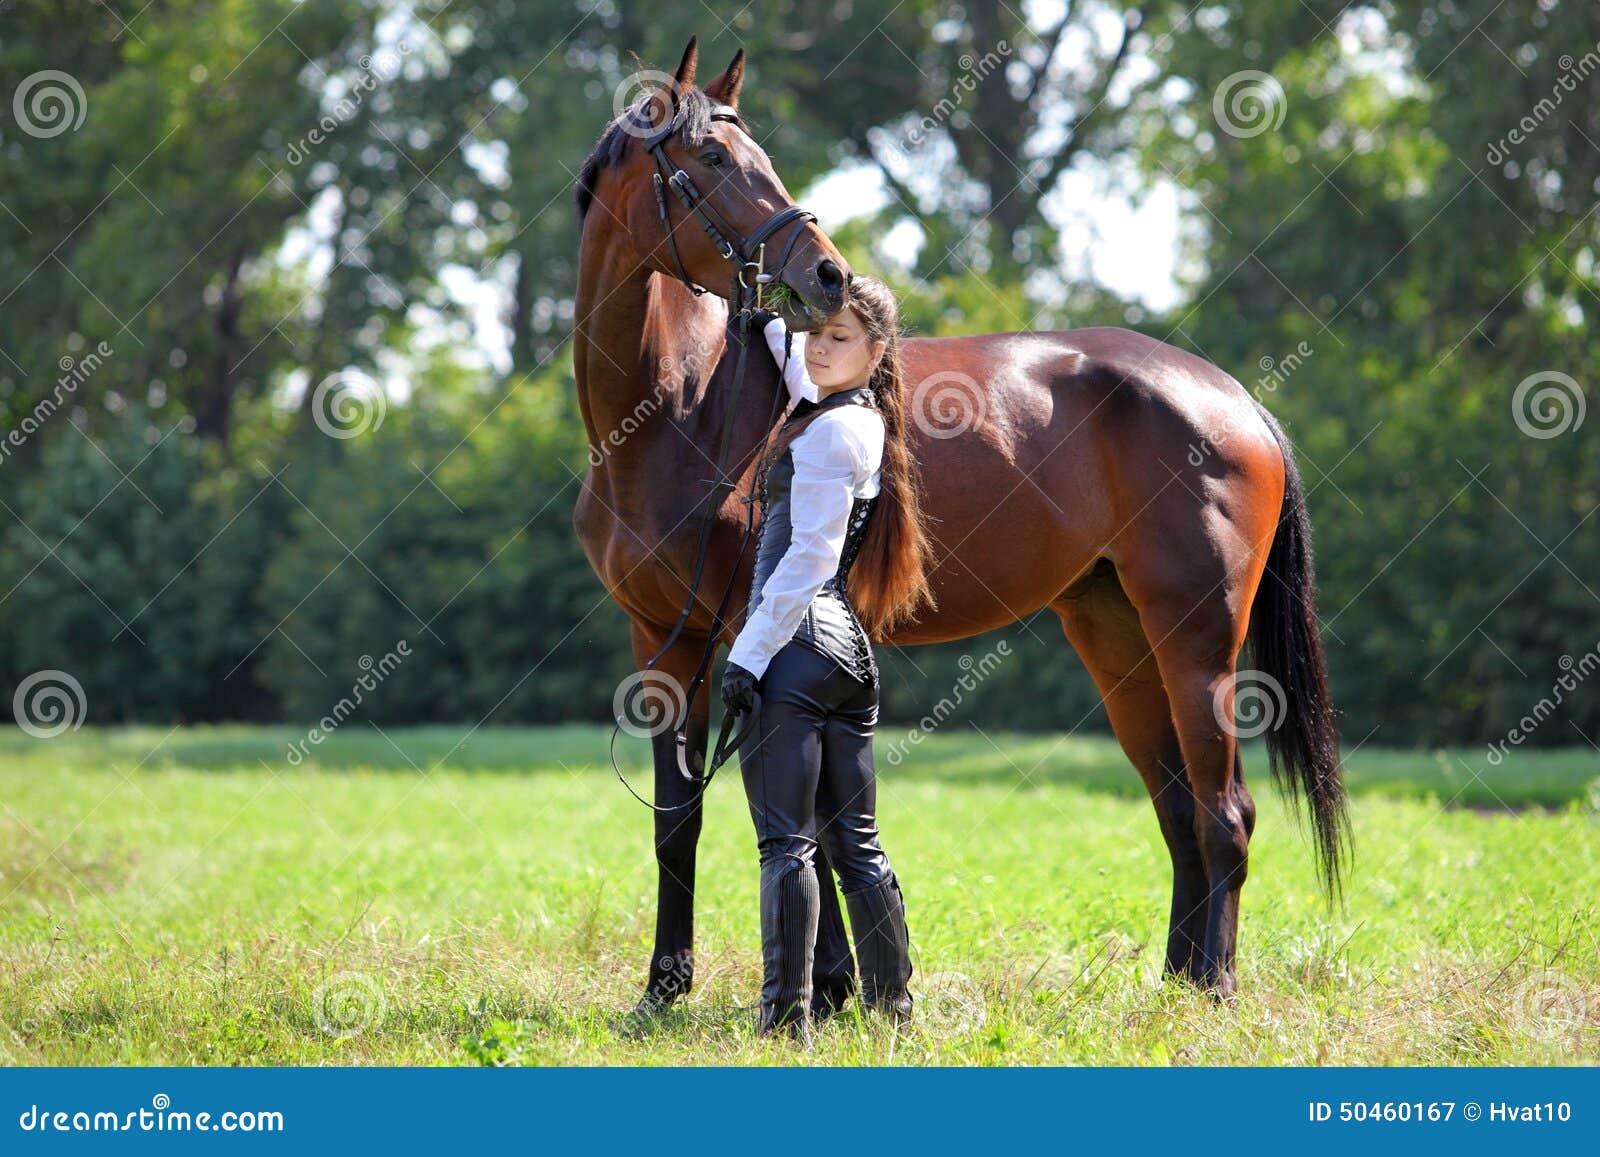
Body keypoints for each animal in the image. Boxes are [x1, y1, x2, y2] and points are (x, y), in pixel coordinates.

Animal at [576, 38, 1350, 1011]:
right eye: (711, 158)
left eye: (759, 157)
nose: (827, 274)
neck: (682, 403)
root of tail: (1237, 399)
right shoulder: (663, 640)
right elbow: (681, 819)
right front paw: (667, 989)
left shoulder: (751, 635)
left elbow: (795, 821)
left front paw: (822, 988)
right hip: (1117, 636)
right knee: (1178, 808)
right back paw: (1174, 985)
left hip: (1197, 638)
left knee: (1225, 813)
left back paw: (1212, 990)